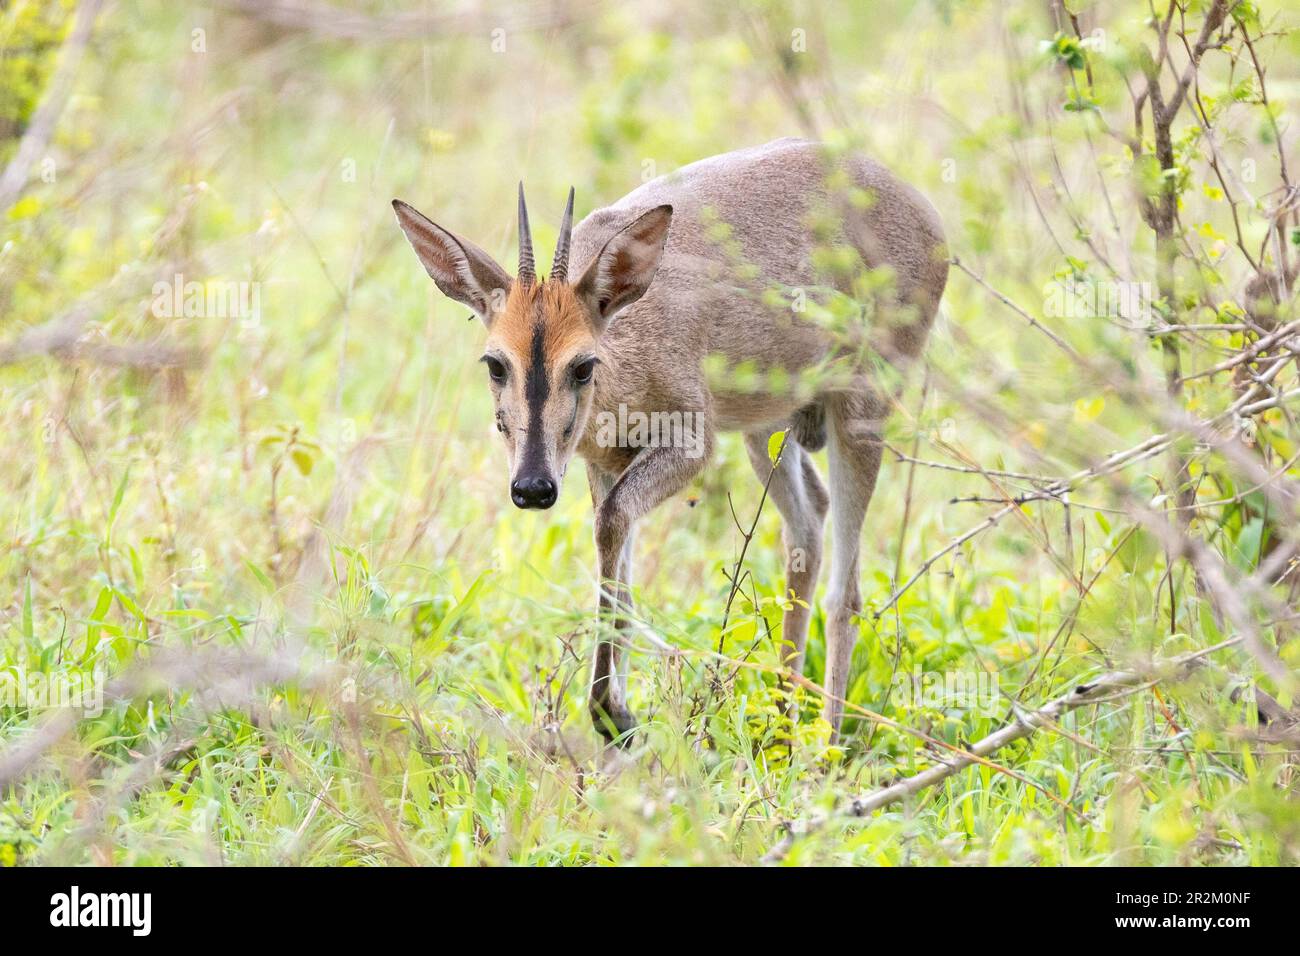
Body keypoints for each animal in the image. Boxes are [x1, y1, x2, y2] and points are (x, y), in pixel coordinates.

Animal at [390, 136, 951, 749]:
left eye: (582, 366)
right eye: (495, 364)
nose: (533, 488)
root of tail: (924, 213)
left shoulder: (691, 446)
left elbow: (612, 526)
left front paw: (614, 712)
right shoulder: (602, 464)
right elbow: (615, 553)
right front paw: (616, 715)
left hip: (861, 412)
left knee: (844, 591)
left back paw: (823, 745)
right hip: (765, 431)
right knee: (808, 524)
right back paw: (780, 726)